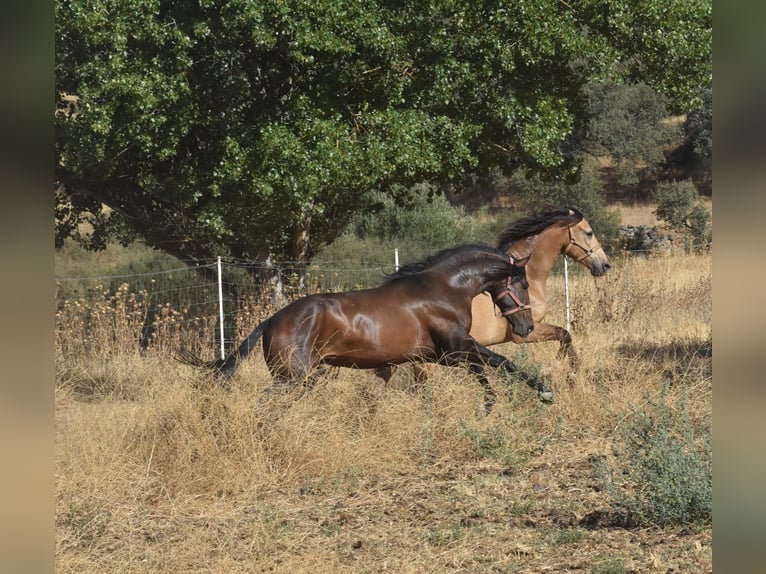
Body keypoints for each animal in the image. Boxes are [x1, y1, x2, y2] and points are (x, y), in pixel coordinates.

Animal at [177, 244, 554, 412]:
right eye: (521, 283)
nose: (526, 325)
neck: (444, 289)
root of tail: (272, 320)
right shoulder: (456, 347)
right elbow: (501, 362)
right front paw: (543, 392)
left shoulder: (436, 356)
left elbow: (484, 370)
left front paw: (489, 405)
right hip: (291, 378)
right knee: (265, 406)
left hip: (306, 377)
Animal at [375, 207, 611, 384]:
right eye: (589, 233)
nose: (605, 265)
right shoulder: (524, 333)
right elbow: (564, 334)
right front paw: (570, 368)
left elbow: (564, 334)